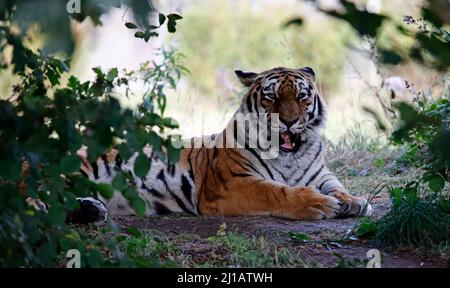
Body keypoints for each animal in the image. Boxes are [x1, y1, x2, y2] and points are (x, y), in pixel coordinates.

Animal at [70, 66, 372, 224]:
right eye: (271, 97)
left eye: (301, 97)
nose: (288, 121)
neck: (291, 157)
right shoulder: (232, 183)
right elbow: (277, 191)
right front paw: (320, 203)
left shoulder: (321, 175)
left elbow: (339, 188)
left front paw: (355, 202)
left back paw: (92, 209)